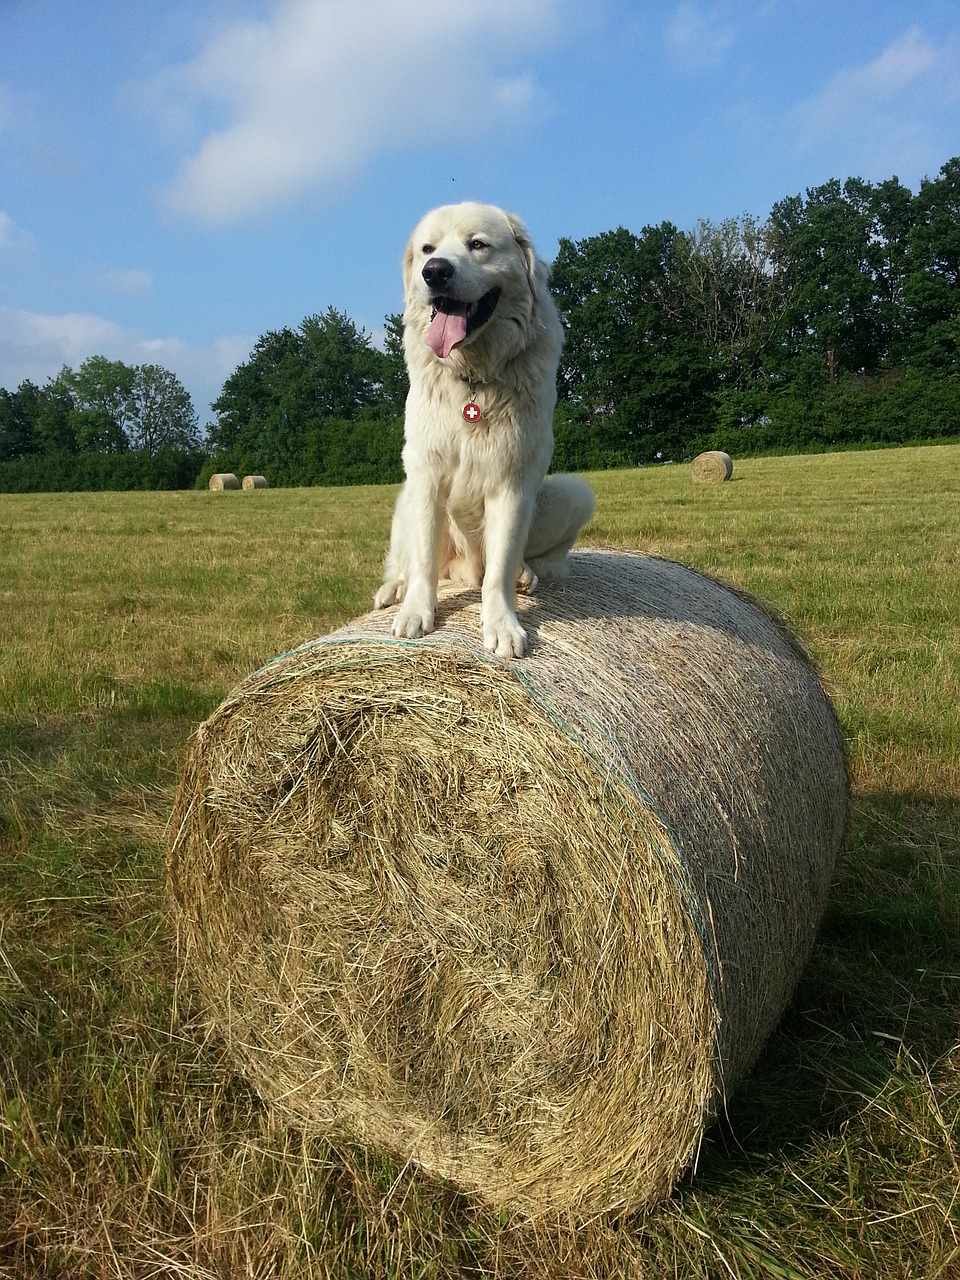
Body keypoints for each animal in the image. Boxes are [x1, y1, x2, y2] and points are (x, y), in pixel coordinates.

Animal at [373, 206, 593, 660]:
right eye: (428, 249)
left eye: (477, 244)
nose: (435, 272)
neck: (474, 376)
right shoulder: (426, 475)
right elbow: (423, 562)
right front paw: (416, 612)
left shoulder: (511, 482)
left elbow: (499, 571)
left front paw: (502, 626)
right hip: (405, 499)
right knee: (410, 562)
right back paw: (394, 590)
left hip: (575, 493)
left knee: (530, 561)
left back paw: (526, 575)